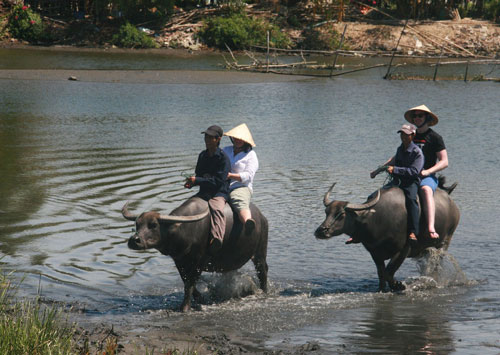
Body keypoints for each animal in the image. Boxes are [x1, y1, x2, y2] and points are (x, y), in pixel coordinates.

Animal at [121, 196, 268, 312]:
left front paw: (185, 307)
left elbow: (190, 283)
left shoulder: (199, 262)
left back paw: (264, 292)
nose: (134, 240)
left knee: (262, 271)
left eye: (153, 225)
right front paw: (201, 298)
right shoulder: (179, 261)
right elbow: (186, 281)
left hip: (260, 252)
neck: (185, 231)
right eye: (137, 224)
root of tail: (262, 217)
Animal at [314, 179, 458, 294]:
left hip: (445, 242)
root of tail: (452, 203)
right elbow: (381, 273)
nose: (320, 231)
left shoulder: (404, 250)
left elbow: (389, 271)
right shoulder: (375, 252)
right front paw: (381, 289)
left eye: (341, 214)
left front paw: (399, 286)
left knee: (436, 265)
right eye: (326, 212)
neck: (376, 222)